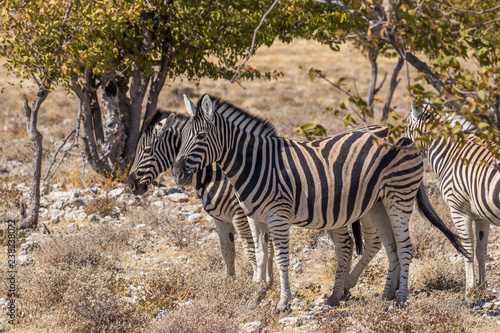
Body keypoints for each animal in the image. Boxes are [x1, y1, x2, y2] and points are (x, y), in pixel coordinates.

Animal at [127, 109, 272, 280]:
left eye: (147, 150)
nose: (131, 184)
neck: (214, 176)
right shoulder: (219, 218)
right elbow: (228, 252)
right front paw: (230, 283)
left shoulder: (239, 216)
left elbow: (252, 251)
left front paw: (255, 282)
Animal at [173, 92, 468, 308]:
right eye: (182, 137)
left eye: (200, 136)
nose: (177, 174)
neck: (254, 163)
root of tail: (405, 137)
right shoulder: (256, 218)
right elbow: (261, 255)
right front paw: (258, 294)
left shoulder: (277, 216)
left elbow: (281, 258)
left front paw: (283, 302)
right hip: (377, 203)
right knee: (391, 245)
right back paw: (385, 295)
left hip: (399, 197)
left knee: (405, 246)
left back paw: (401, 299)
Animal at [408, 101, 498, 294]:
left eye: (404, 127)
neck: (451, 153)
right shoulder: (482, 216)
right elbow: (481, 250)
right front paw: (482, 288)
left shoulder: (458, 210)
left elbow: (467, 249)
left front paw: (469, 290)